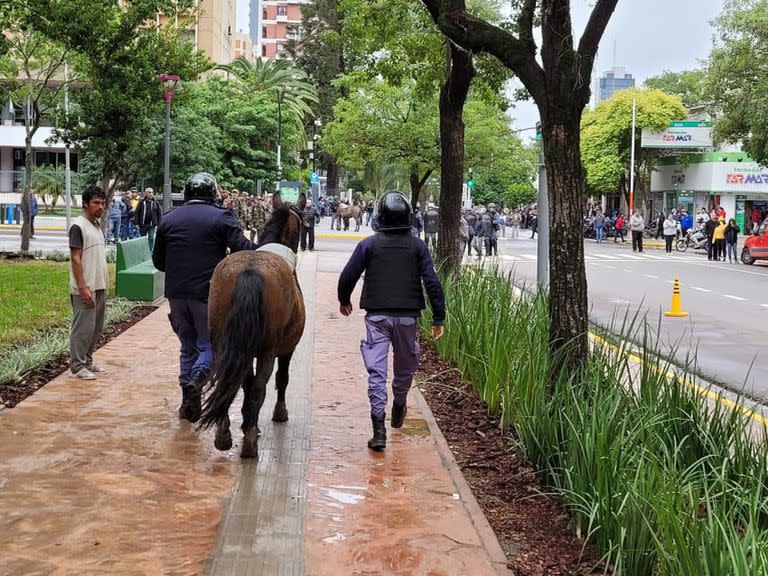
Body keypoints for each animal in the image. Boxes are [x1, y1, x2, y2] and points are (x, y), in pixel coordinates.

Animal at [201, 192, 306, 460]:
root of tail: (250, 270)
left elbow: (245, 383)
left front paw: (248, 421)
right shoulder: (286, 349)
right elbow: (281, 378)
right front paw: (277, 413)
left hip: (223, 341)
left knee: (230, 379)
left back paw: (224, 434)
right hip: (268, 349)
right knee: (260, 387)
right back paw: (249, 442)